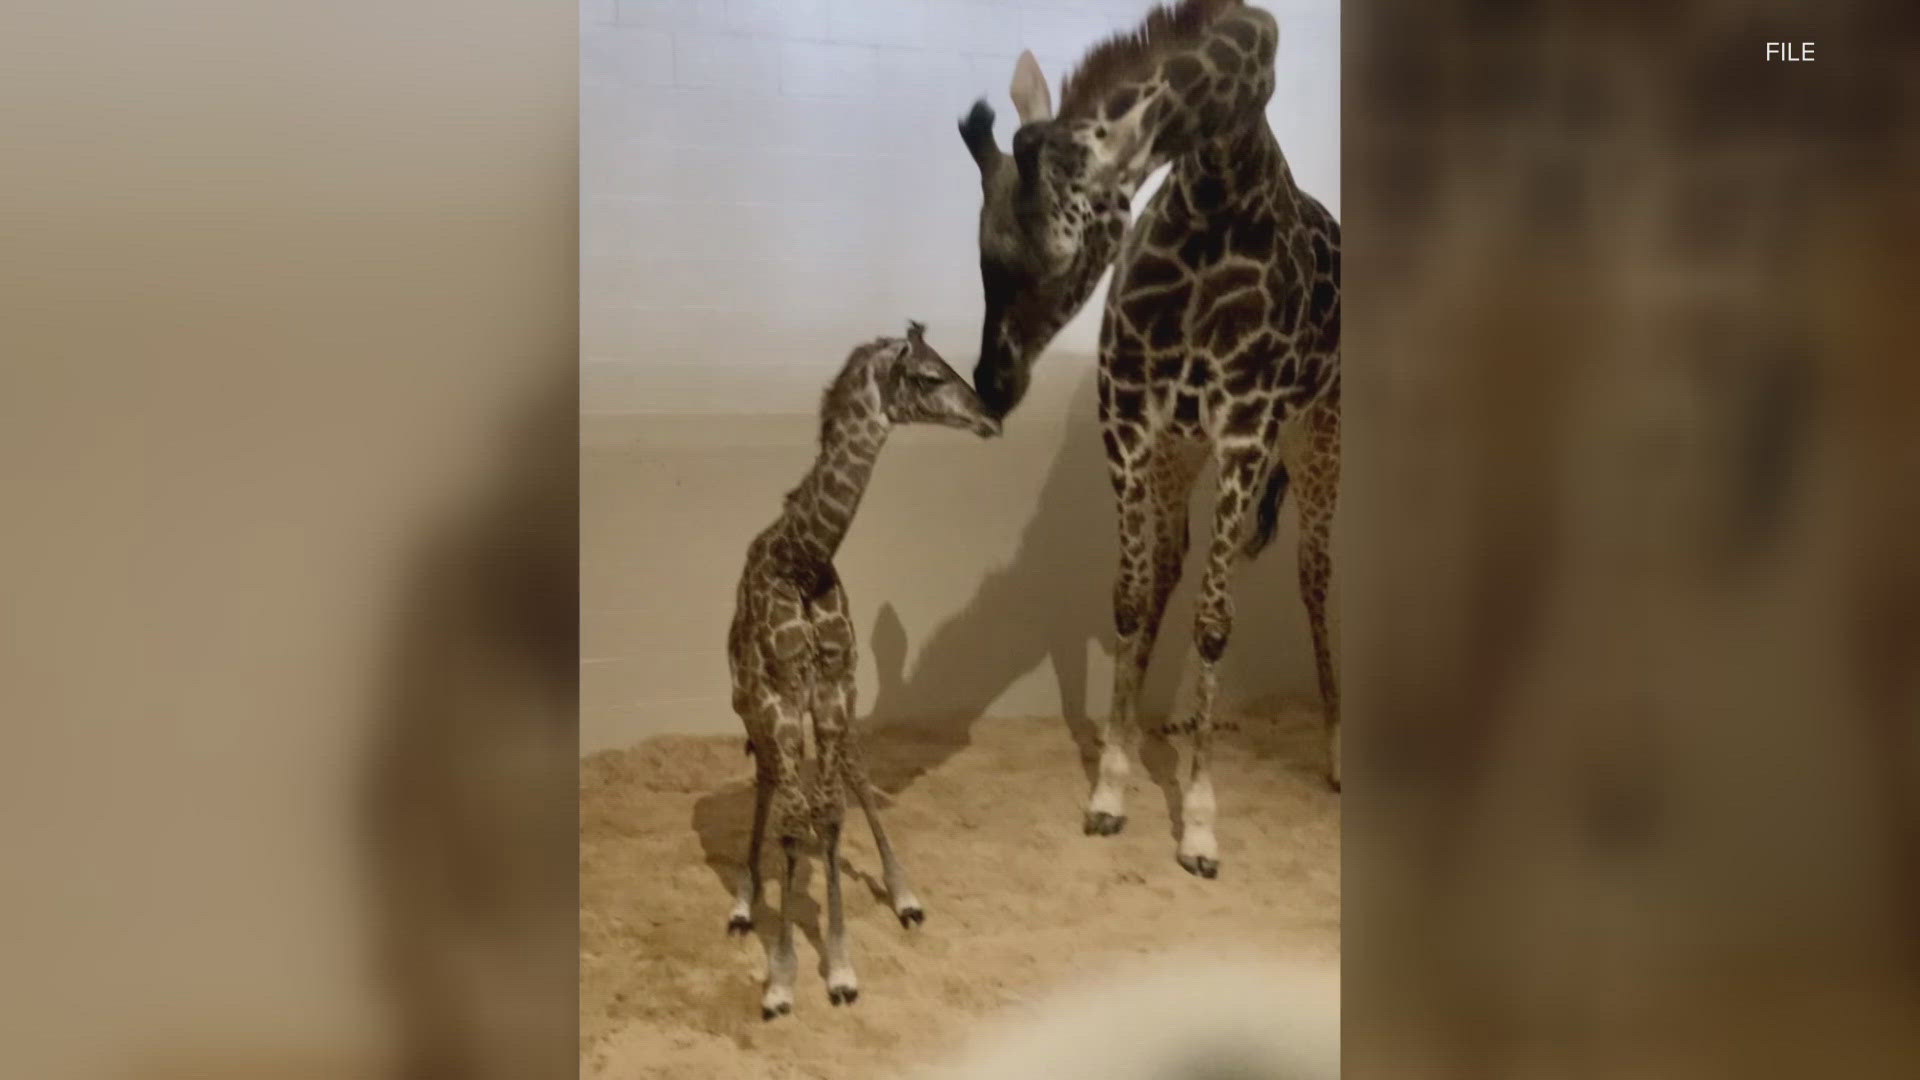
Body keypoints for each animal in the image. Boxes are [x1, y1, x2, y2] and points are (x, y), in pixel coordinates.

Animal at [721, 320, 1006, 1014]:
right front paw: (781, 980)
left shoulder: (834, 689)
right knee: (769, 783)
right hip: (752, 704)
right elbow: (795, 823)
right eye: (930, 376)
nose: (990, 417)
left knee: (842, 773)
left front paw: (841, 968)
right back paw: (743, 902)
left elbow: (829, 815)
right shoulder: (781, 697)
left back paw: (902, 895)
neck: (801, 560)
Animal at [956, 0, 1336, 876]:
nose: (992, 384)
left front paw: (1199, 821)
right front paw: (1111, 787)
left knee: (1312, 578)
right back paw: (1171, 725)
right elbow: (1132, 599)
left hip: (1314, 440)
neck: (1220, 186)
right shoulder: (1130, 413)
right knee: (1173, 567)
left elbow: (1217, 622)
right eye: (980, 253)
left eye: (1062, 258)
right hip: (1180, 451)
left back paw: (1335, 752)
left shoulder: (1246, 424)